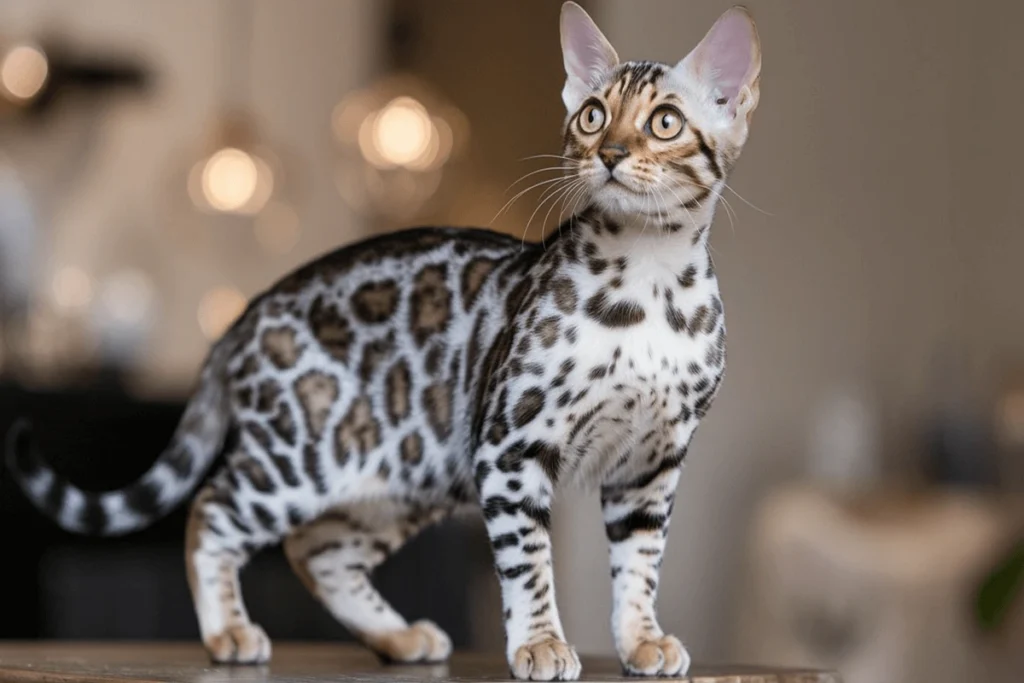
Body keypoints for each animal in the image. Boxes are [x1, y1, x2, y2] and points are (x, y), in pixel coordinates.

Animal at [6, 3, 761, 679]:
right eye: (594, 114)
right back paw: (228, 632)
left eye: (664, 122)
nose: (609, 153)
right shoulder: (511, 445)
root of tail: (243, 314)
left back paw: (398, 638)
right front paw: (542, 643)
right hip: (299, 460)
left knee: (317, 551)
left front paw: (641, 640)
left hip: (401, 475)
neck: (650, 282)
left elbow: (640, 566)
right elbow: (529, 562)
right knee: (212, 509)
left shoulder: (651, 463)